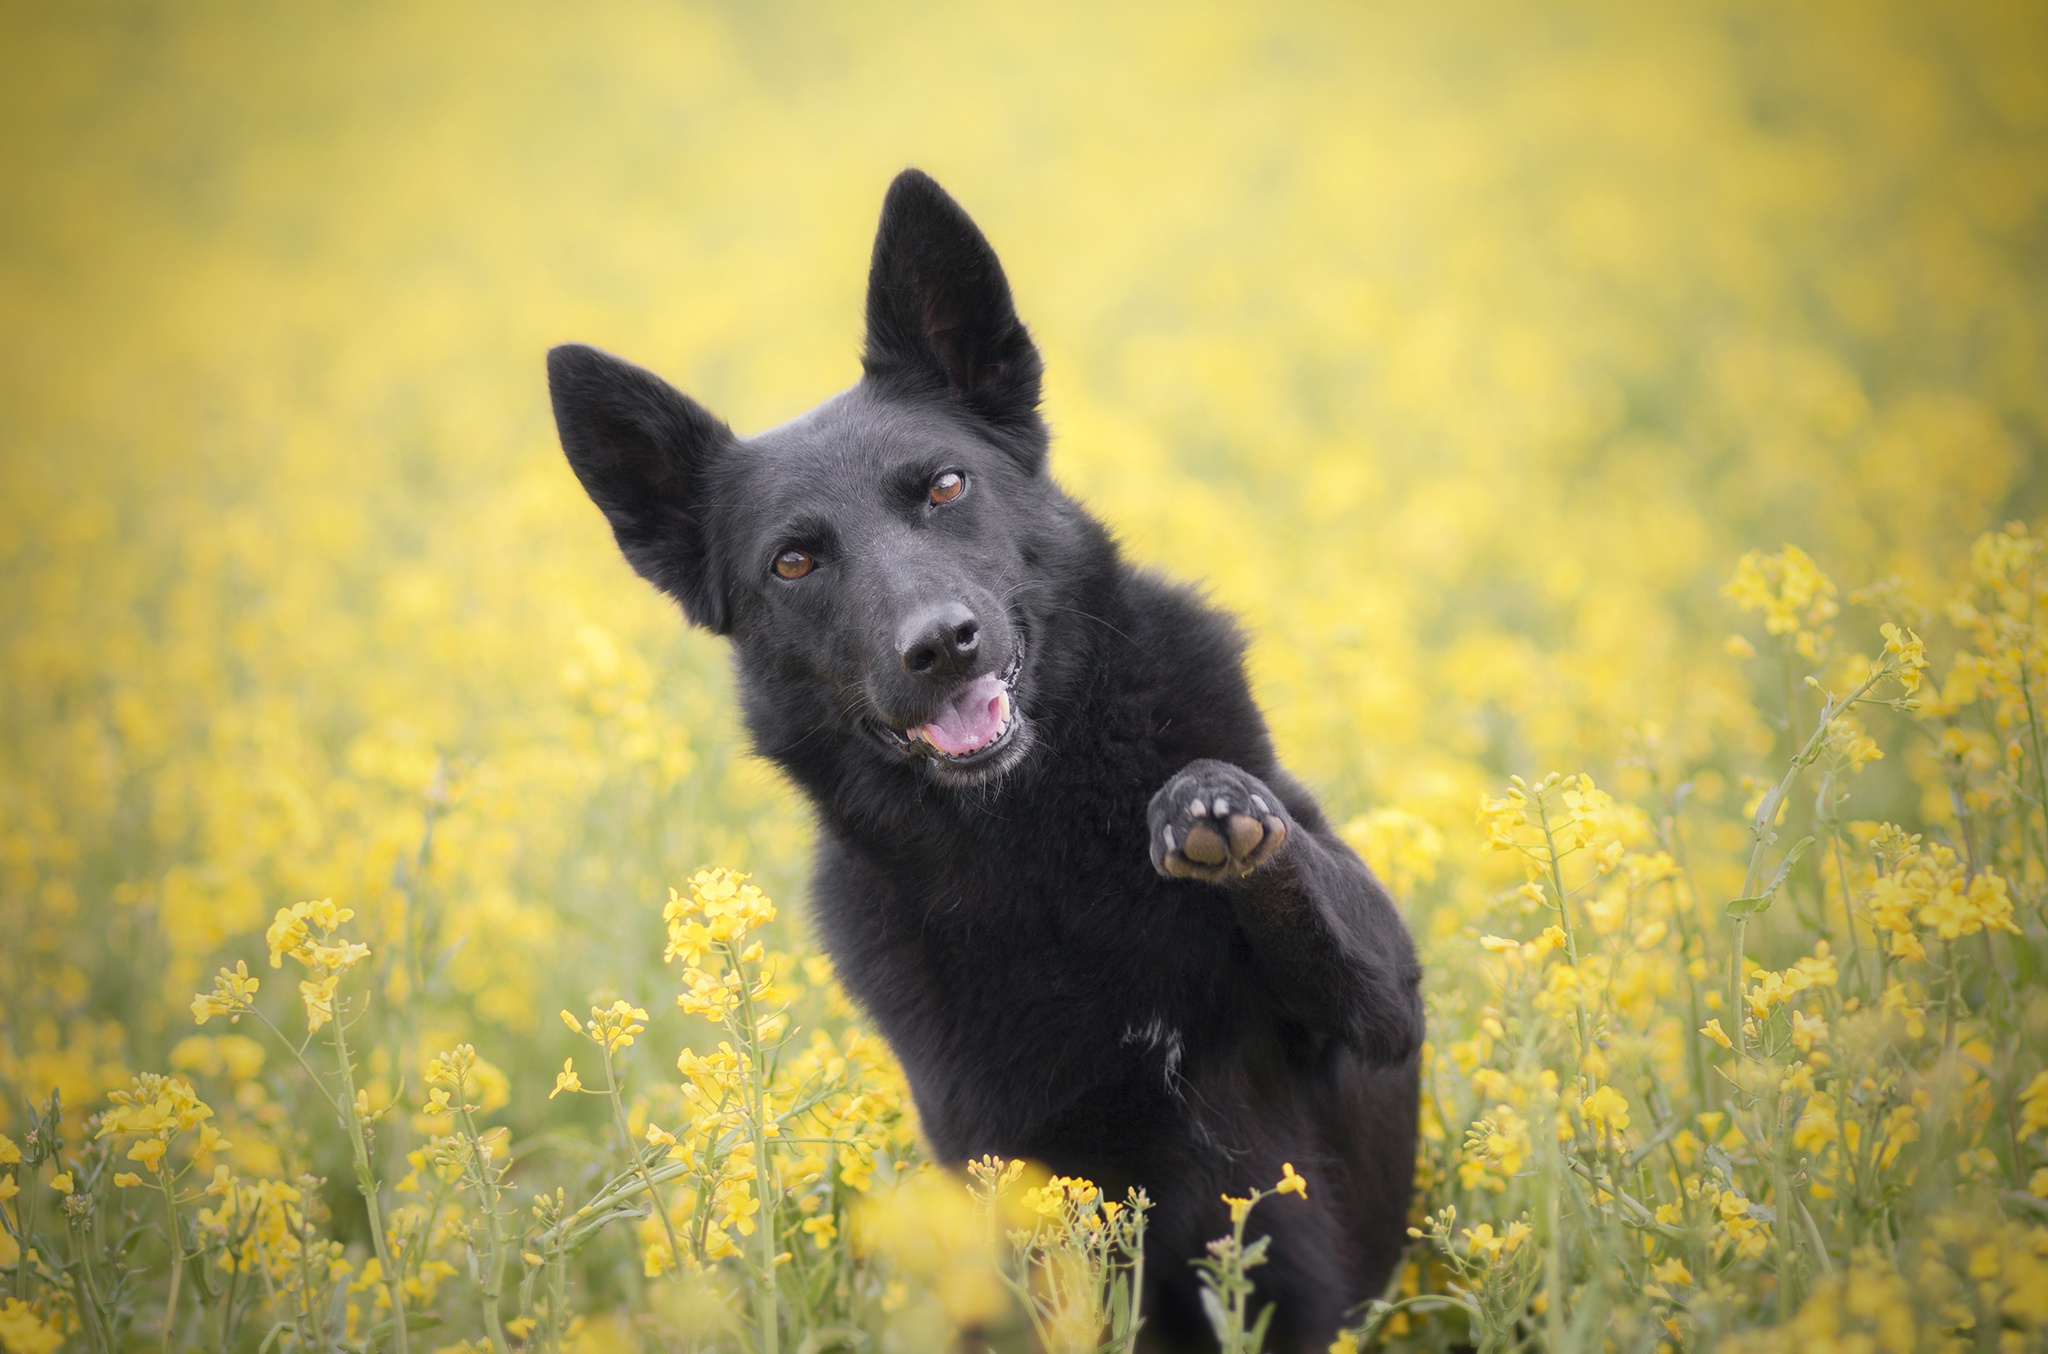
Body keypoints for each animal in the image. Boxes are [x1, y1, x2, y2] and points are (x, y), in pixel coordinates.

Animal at [552, 172, 1433, 1351]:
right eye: (794, 562)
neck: (1039, 829)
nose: (940, 645)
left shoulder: (1376, 1012)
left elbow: (1301, 877)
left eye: (944, 487)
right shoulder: (1027, 1169)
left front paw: (1210, 805)